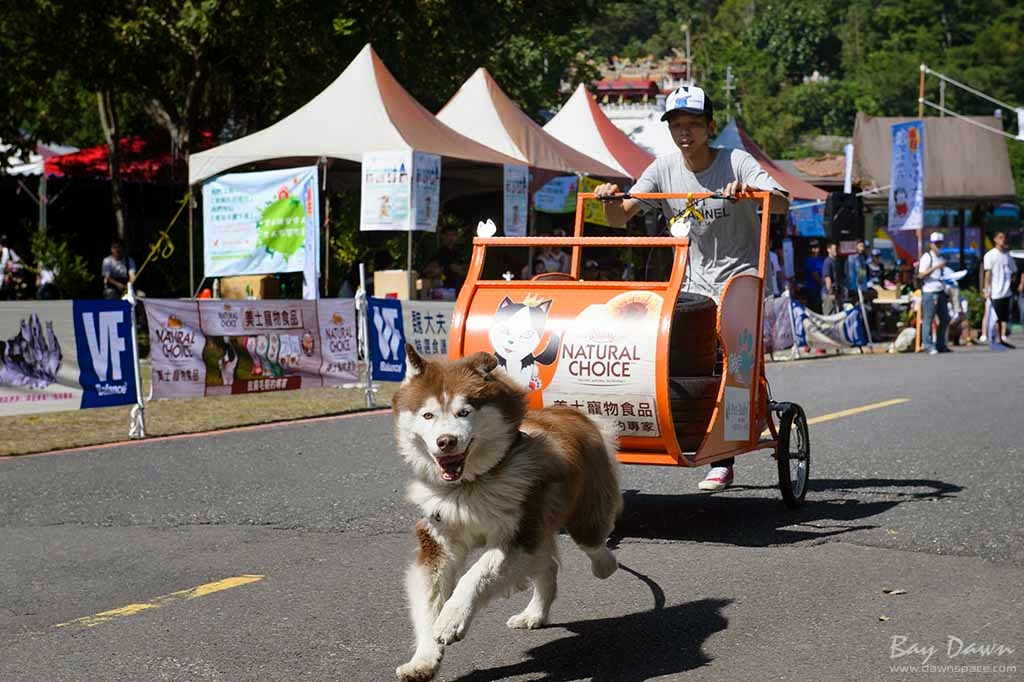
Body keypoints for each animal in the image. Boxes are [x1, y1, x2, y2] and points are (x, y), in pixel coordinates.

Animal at [391, 346, 618, 679]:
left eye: (464, 412)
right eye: (428, 415)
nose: (446, 442)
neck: (470, 486)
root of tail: (570, 411)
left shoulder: (519, 531)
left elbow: (475, 574)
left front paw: (452, 618)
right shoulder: (439, 539)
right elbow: (429, 600)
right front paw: (424, 658)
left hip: (581, 512)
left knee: (592, 543)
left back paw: (606, 565)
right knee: (547, 565)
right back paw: (534, 614)